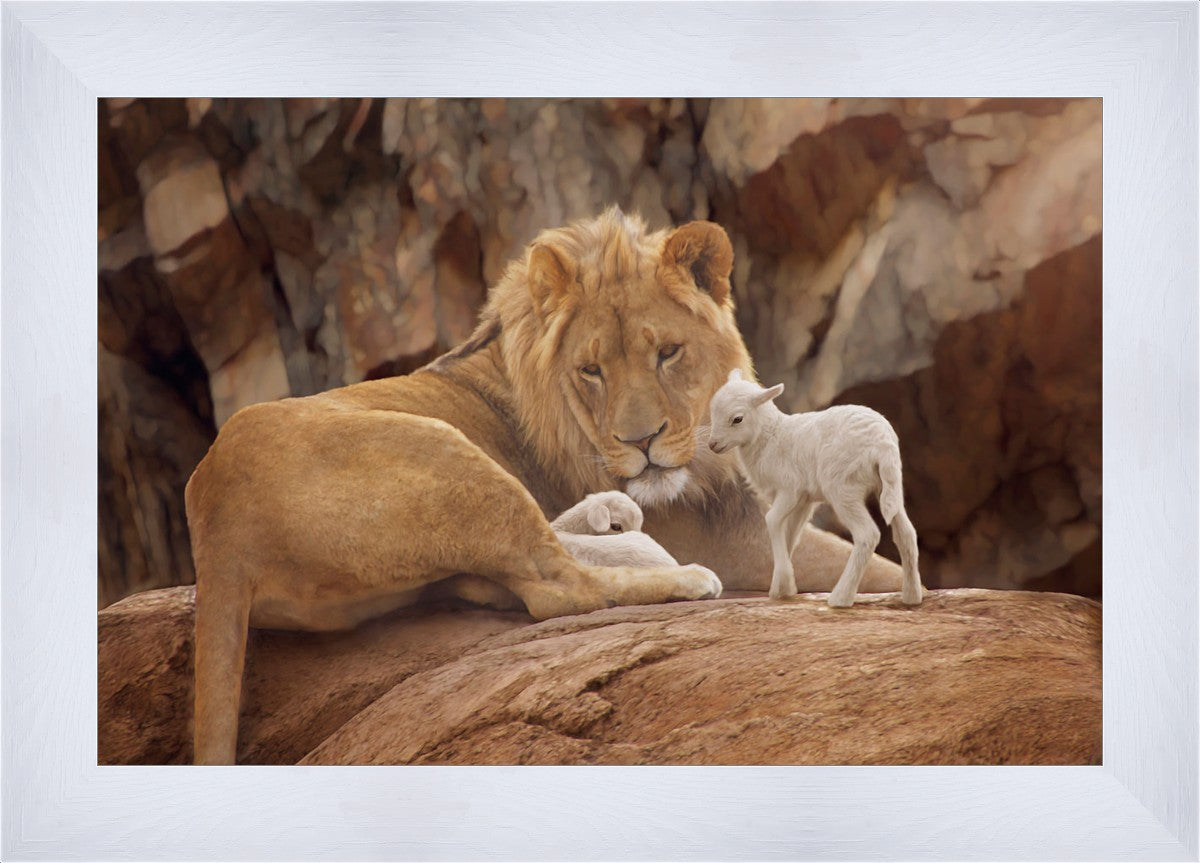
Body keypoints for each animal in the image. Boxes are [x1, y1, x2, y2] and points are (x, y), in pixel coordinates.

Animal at [707, 369, 922, 608]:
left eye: (737, 419)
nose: (712, 445)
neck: (771, 437)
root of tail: (883, 444)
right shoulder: (804, 500)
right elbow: (790, 534)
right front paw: (782, 587)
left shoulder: (790, 489)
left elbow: (772, 520)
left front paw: (784, 583)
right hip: (890, 485)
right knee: (906, 533)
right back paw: (912, 596)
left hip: (842, 487)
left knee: (867, 534)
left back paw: (840, 597)